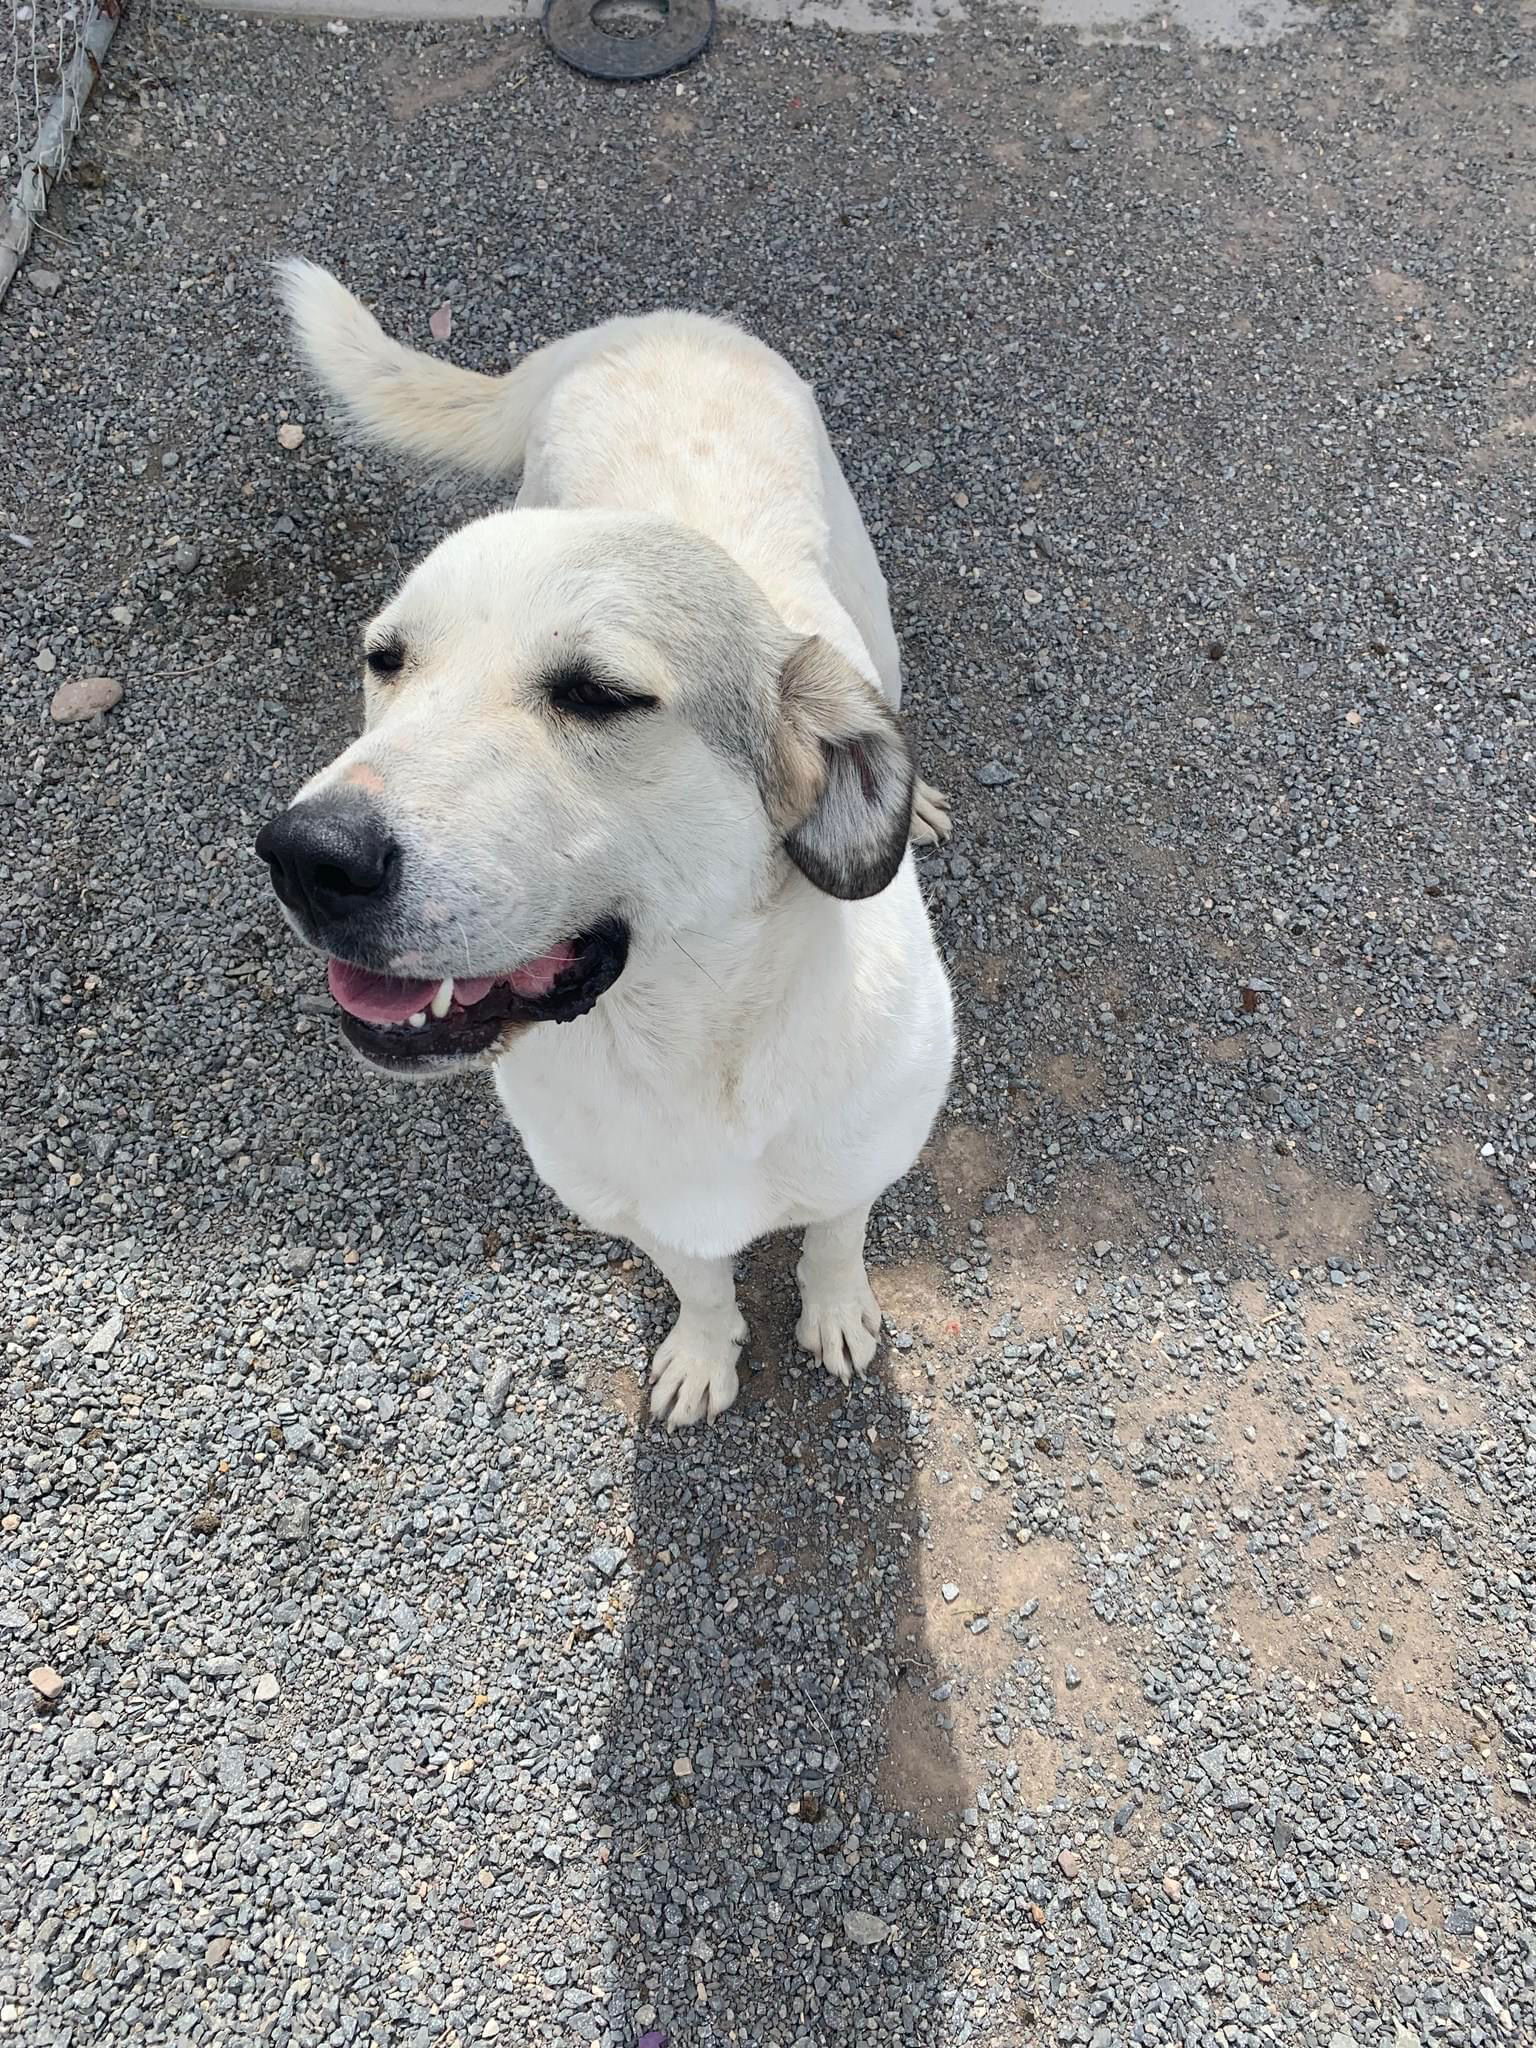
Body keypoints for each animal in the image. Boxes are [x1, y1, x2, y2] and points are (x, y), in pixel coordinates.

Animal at [259, 260, 958, 1425]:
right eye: (386, 659)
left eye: (598, 693)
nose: (306, 855)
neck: (686, 1049)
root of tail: (641, 325)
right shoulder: (640, 1214)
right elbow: (702, 1283)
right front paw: (704, 1354)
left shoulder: (860, 1166)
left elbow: (834, 1241)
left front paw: (835, 1312)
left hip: (873, 608)